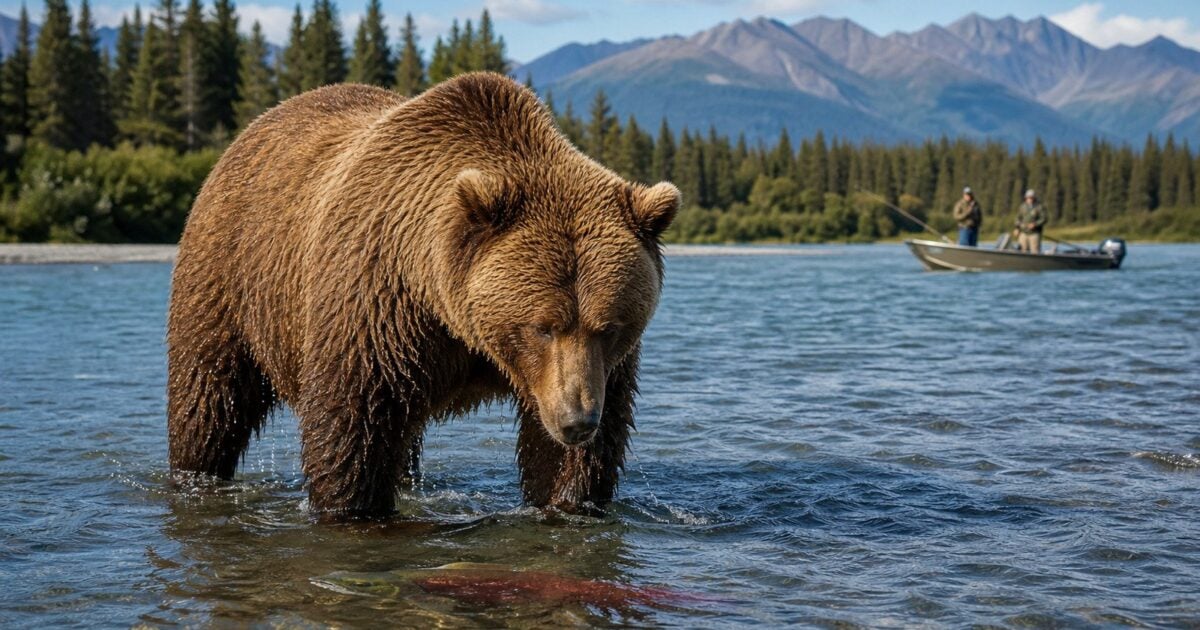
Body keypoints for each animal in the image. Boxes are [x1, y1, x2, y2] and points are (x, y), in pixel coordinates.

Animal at [166, 72, 679, 518]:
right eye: (542, 327)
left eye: (609, 327)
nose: (576, 421)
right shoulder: (378, 306)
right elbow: (354, 424)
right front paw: (353, 508)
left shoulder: (590, 370)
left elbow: (571, 457)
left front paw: (568, 500)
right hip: (228, 275)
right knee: (209, 395)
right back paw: (196, 472)